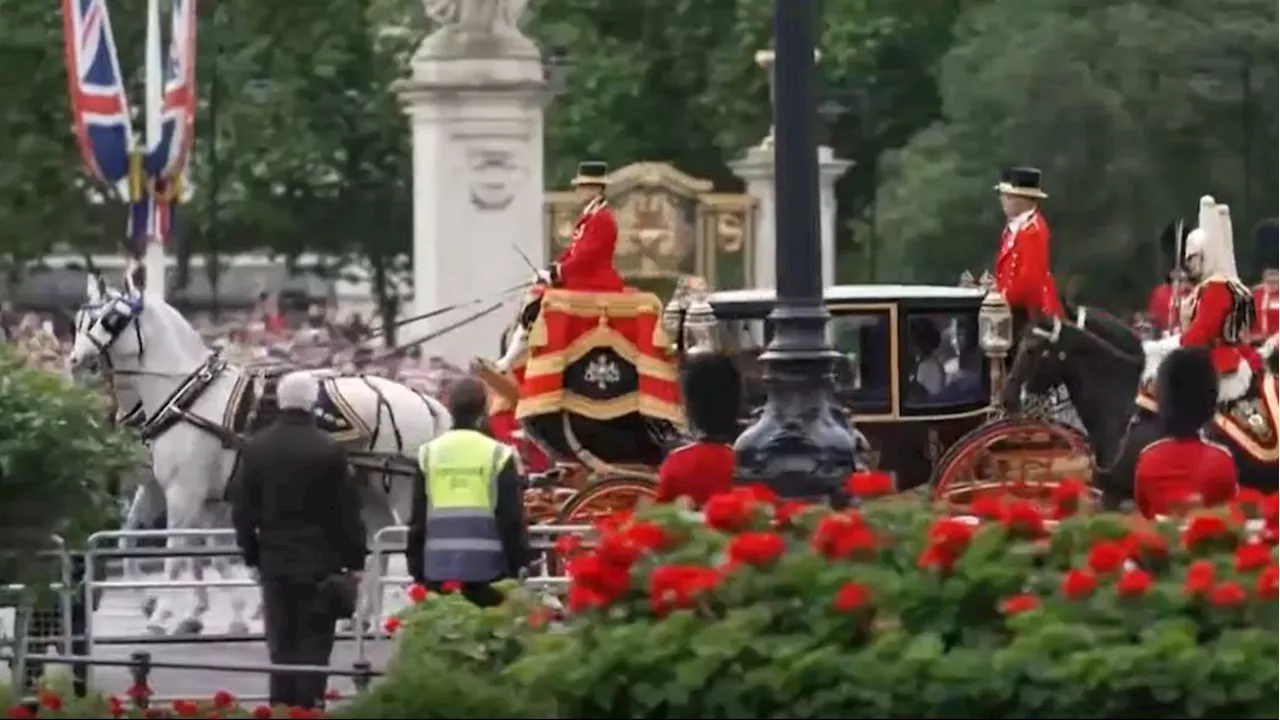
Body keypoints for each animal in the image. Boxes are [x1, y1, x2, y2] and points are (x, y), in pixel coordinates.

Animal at [70, 274, 453, 632]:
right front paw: (224, 612)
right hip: (370, 488)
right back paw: (366, 616)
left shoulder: (184, 491)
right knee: (379, 541)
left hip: (399, 487)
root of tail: (424, 399)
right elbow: (203, 552)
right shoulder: (199, 496)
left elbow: (178, 554)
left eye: (110, 320)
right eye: (79, 320)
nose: (75, 361)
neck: (188, 397)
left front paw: (164, 611)